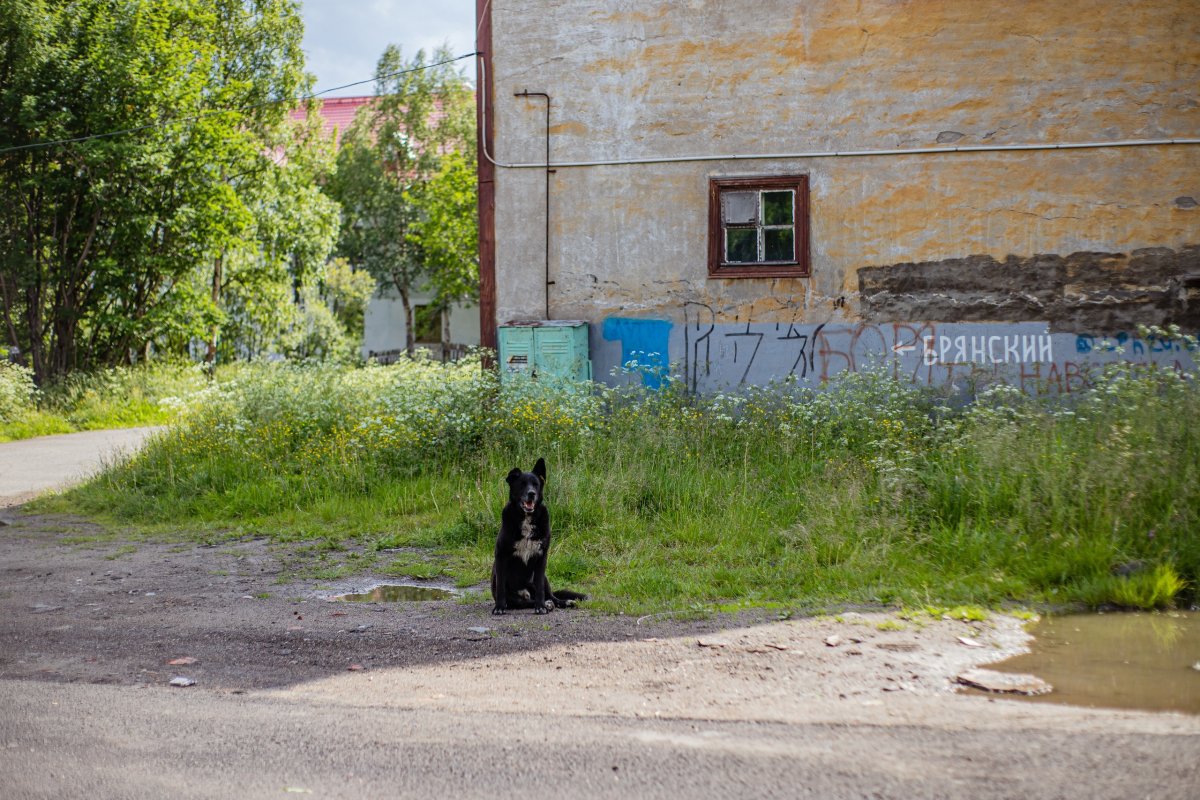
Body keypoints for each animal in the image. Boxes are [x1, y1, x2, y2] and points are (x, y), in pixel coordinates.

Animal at [491, 458, 586, 615]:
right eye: (522, 484)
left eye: (535, 484)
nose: (531, 493)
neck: (527, 518)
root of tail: (525, 592)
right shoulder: (501, 555)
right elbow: (501, 588)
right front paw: (499, 607)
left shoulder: (541, 557)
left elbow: (540, 587)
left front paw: (540, 607)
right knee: (523, 602)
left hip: (545, 578)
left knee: (551, 596)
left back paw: (562, 602)